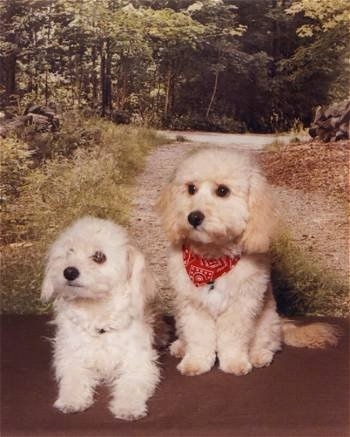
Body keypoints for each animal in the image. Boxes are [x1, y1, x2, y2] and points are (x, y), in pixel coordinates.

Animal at [41, 216, 160, 420]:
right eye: (69, 251)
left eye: (99, 256)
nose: (69, 271)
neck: (97, 316)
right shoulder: (71, 357)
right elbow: (74, 379)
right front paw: (71, 400)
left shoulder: (139, 362)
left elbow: (130, 385)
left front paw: (128, 408)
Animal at [157, 148, 338, 376]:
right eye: (191, 188)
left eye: (222, 191)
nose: (194, 217)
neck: (211, 261)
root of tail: (282, 322)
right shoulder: (193, 305)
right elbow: (199, 338)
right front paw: (195, 362)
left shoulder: (241, 306)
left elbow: (233, 339)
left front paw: (235, 362)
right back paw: (181, 346)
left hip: (267, 319)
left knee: (269, 342)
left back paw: (259, 355)